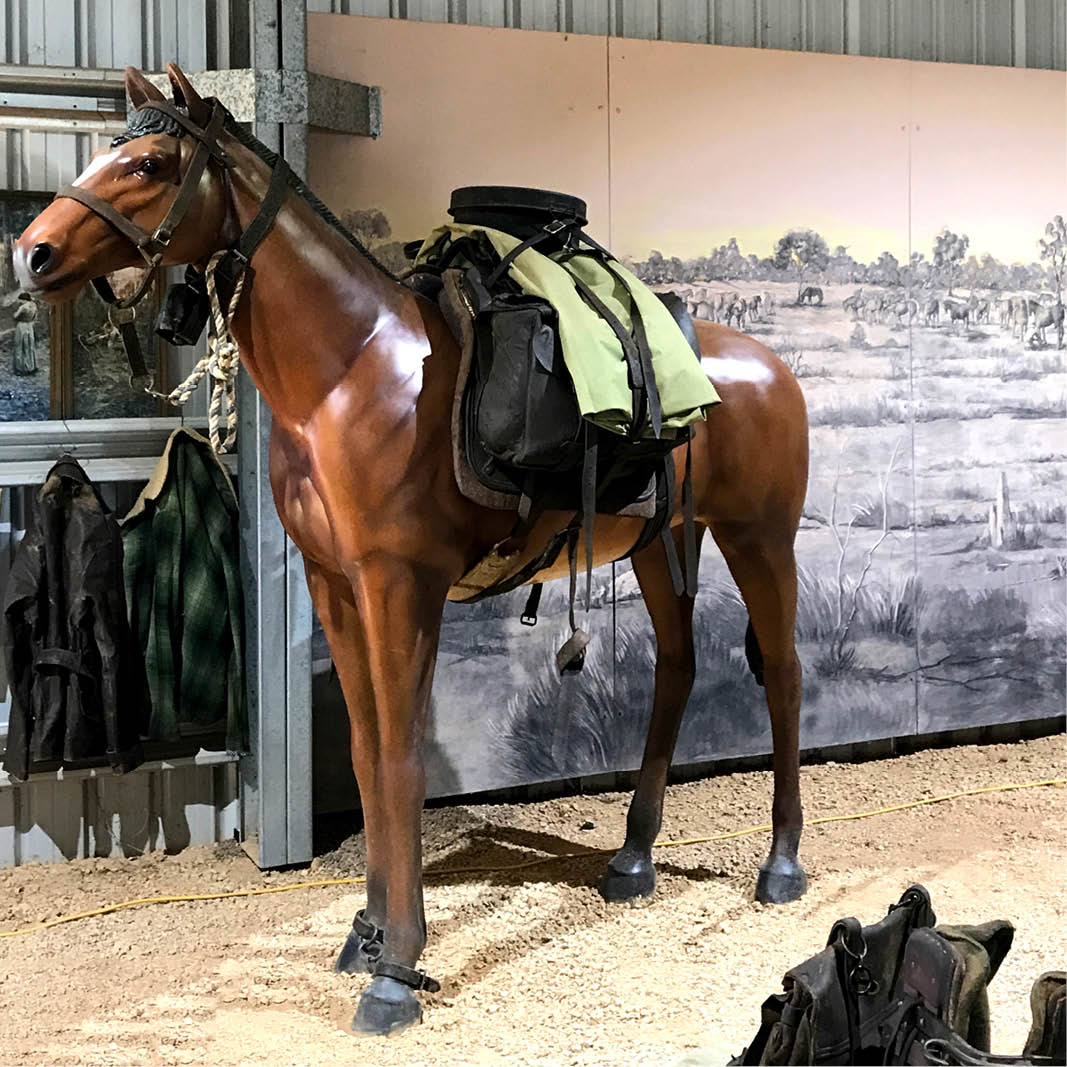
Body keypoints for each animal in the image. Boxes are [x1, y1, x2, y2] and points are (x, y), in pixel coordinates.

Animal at [13, 64, 811, 1037]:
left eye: (151, 164)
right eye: (106, 151)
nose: (32, 253)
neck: (350, 374)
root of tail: (767, 367)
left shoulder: (401, 585)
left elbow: (399, 760)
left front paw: (396, 964)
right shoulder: (334, 583)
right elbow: (363, 754)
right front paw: (364, 933)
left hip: (760, 538)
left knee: (782, 673)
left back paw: (780, 862)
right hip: (666, 545)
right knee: (680, 667)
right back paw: (632, 855)